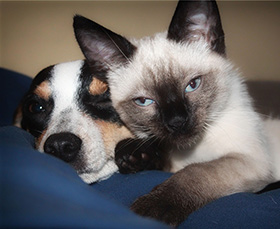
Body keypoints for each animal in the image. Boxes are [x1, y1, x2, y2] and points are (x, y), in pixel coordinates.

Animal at [72, 0, 280, 225]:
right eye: (144, 101)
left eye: (192, 85)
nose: (178, 121)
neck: (191, 150)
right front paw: (134, 155)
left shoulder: (251, 161)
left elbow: (196, 171)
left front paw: (152, 208)